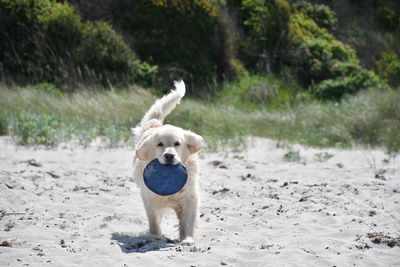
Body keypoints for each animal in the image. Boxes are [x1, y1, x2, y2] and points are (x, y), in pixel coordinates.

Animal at [133, 80, 205, 246]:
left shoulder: (190, 196)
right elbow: (153, 220)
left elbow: (188, 220)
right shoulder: (150, 197)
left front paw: (187, 239)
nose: (169, 156)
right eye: (159, 144)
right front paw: (156, 236)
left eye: (177, 143)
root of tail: (154, 123)